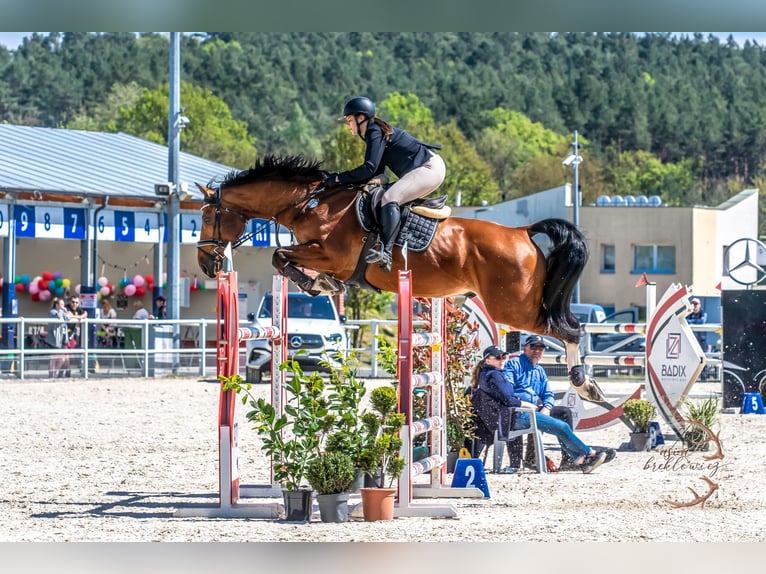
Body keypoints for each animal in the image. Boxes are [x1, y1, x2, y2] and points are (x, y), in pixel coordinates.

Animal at [195, 155, 604, 402]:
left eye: (207, 216)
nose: (205, 265)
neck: (312, 204)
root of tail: (522, 232)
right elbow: (284, 259)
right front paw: (323, 285)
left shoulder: (331, 255)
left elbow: (280, 256)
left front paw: (319, 284)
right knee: (568, 326)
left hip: (512, 307)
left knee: (568, 329)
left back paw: (585, 385)